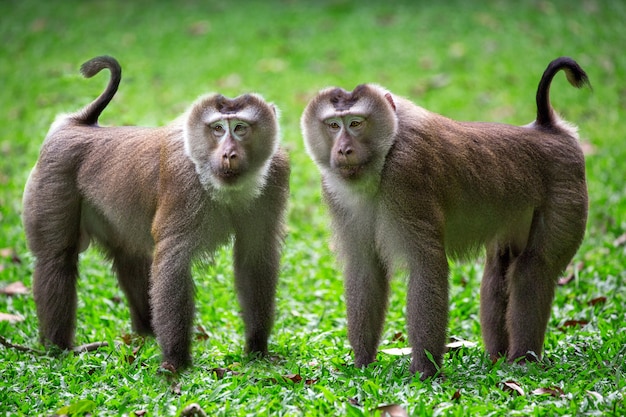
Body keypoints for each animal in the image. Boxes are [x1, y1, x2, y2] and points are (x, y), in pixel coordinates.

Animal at [21, 56, 290, 370]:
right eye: (218, 129)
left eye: (240, 127)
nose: (228, 154)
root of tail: (76, 124)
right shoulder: (183, 183)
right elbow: (174, 262)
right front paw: (176, 363)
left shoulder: (275, 176)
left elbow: (254, 258)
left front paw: (257, 349)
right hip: (54, 176)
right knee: (57, 258)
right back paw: (60, 347)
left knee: (130, 256)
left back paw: (146, 335)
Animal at [300, 57, 588, 378]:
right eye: (333, 125)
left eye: (356, 123)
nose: (343, 149)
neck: (387, 152)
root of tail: (549, 130)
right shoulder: (336, 193)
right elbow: (365, 268)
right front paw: (363, 363)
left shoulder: (407, 174)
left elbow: (427, 265)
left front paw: (424, 371)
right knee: (499, 266)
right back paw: (499, 358)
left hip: (566, 190)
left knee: (534, 267)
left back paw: (522, 360)